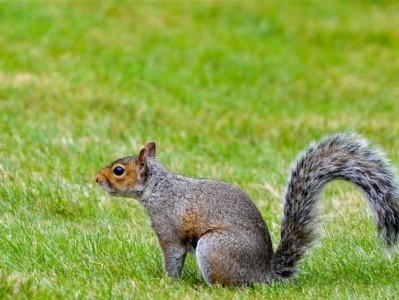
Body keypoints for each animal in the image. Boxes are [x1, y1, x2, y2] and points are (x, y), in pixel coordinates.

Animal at [96, 134, 399, 286]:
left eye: (119, 170)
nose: (96, 179)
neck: (157, 186)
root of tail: (263, 273)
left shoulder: (168, 227)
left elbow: (173, 255)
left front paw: (167, 281)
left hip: (214, 247)